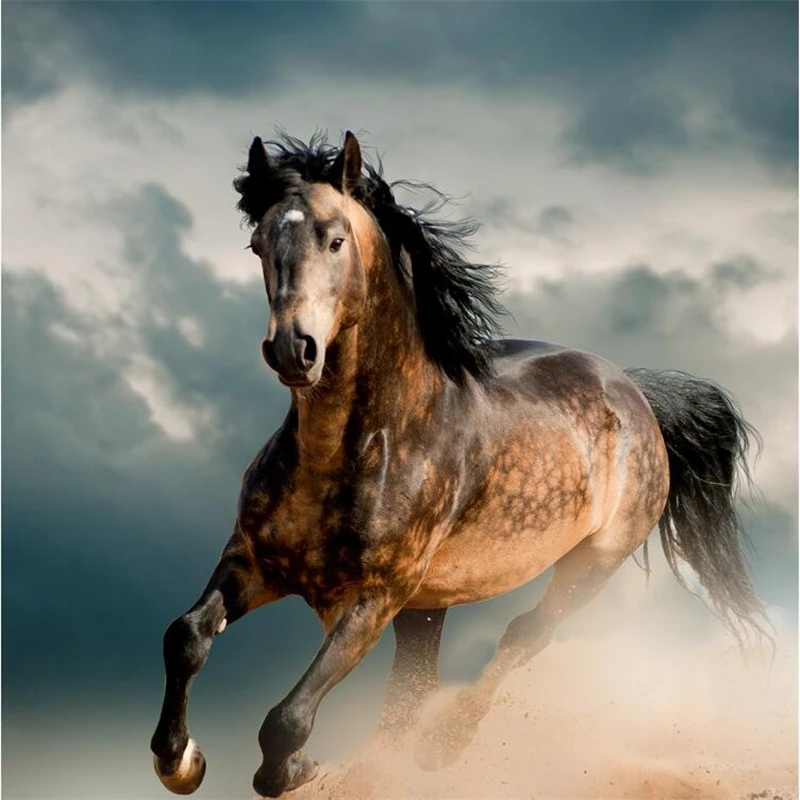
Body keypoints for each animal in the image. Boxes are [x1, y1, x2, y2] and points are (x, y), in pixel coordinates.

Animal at [150, 130, 768, 798]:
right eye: (258, 244)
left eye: (335, 239)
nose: (293, 349)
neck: (352, 449)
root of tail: (636, 393)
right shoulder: (254, 562)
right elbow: (185, 636)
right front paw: (180, 761)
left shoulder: (373, 598)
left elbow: (287, 719)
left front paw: (296, 768)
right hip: (429, 608)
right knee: (413, 689)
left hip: (591, 564)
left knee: (524, 635)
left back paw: (443, 746)